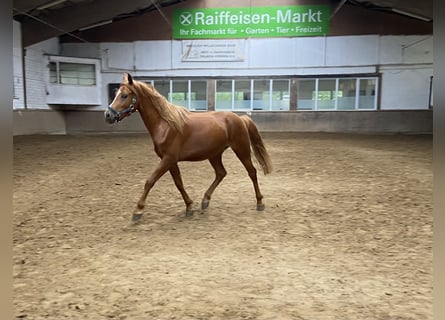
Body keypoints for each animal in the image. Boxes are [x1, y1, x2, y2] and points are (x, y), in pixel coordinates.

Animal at [105, 73, 270, 222]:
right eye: (116, 93)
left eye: (124, 95)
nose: (108, 115)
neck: (165, 125)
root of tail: (240, 118)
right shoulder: (170, 161)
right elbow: (179, 183)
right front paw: (189, 207)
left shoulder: (168, 159)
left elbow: (150, 181)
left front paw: (138, 211)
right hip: (214, 154)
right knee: (221, 173)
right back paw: (205, 200)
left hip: (241, 149)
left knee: (252, 172)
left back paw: (260, 202)